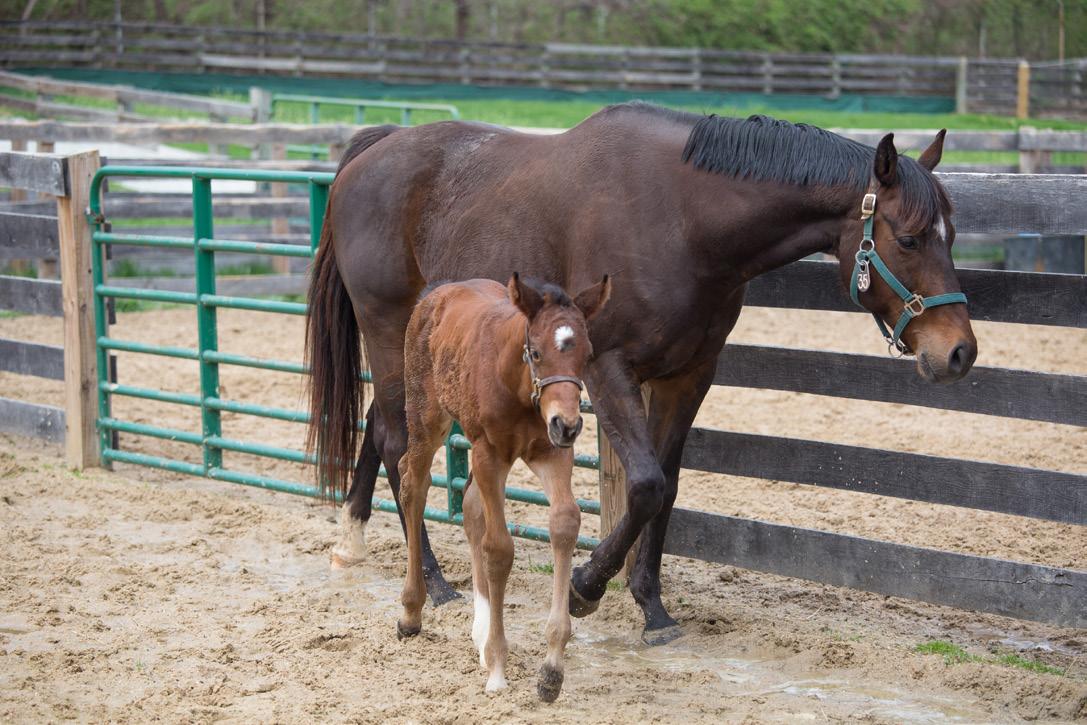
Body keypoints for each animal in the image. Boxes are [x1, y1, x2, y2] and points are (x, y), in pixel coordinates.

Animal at [305, 103, 978, 646]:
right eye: (910, 239)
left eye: (951, 236)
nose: (959, 352)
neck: (683, 218)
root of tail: (372, 152)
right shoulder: (606, 368)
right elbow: (646, 484)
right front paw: (586, 587)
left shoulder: (690, 374)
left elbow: (668, 486)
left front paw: (651, 607)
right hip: (389, 332)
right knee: (401, 446)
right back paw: (437, 583)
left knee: (380, 431)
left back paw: (352, 542)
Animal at [395, 274, 610, 701]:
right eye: (537, 352)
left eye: (588, 353)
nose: (569, 425)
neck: (517, 385)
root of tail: (437, 295)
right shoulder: (488, 453)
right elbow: (498, 548)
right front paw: (497, 666)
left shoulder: (551, 452)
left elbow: (564, 523)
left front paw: (551, 670)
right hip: (427, 417)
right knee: (413, 483)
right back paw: (411, 612)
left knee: (471, 506)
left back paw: (478, 632)